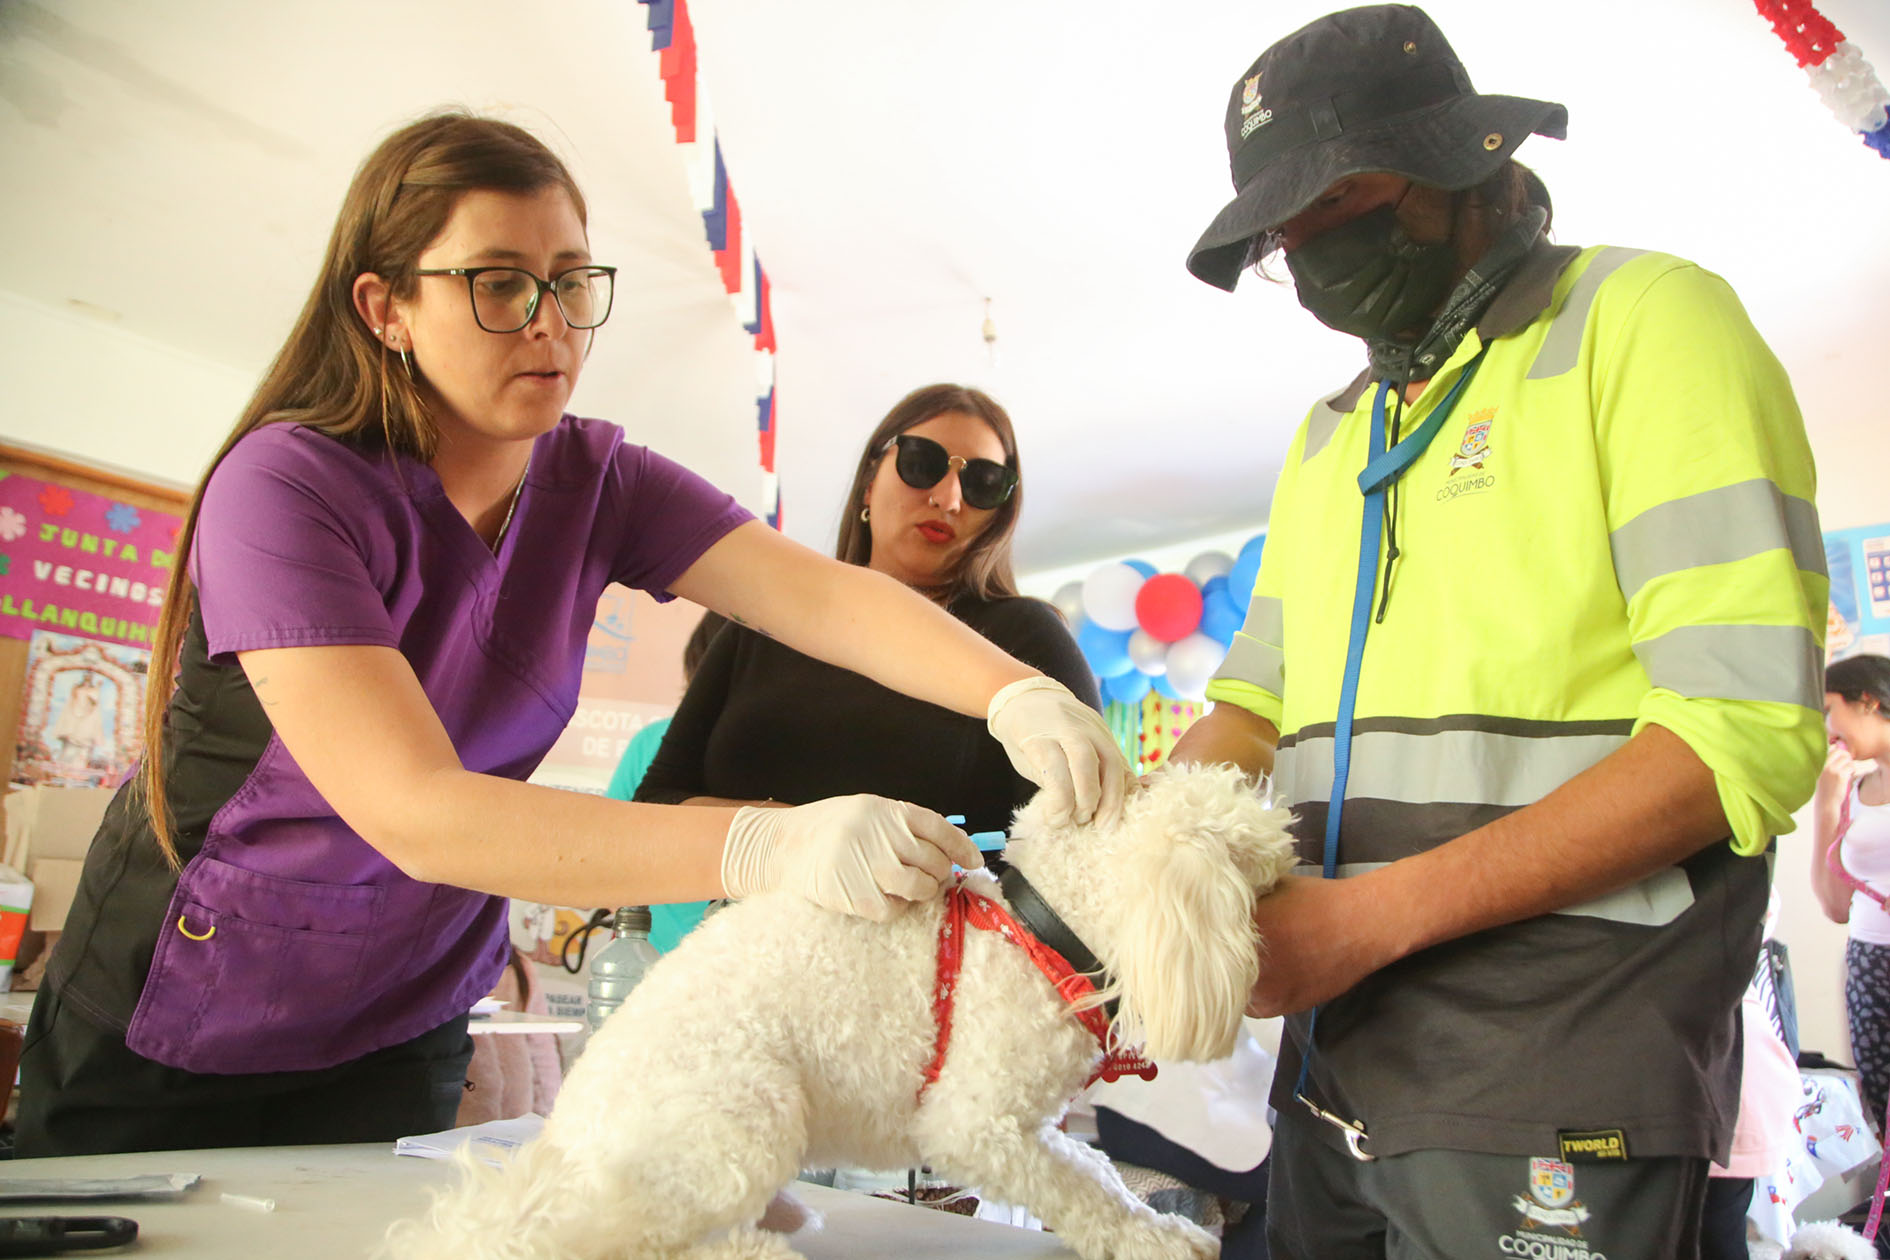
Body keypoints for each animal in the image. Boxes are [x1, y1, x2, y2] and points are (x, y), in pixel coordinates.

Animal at [383, 763, 1300, 1254]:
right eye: (1260, 865)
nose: (1304, 879)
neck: (1035, 930)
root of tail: (559, 1162)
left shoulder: (1035, 1127)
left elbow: (1097, 1167)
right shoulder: (978, 1126)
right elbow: (1082, 1189)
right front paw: (1154, 1239)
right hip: (742, 1116)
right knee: (633, 1243)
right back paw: (749, 1251)